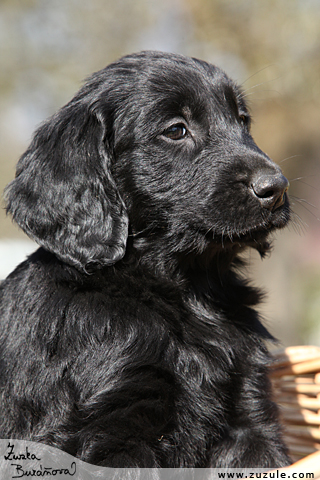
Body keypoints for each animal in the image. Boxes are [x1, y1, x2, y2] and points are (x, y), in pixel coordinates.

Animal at [0, 52, 290, 468]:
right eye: (176, 130)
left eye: (243, 120)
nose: (276, 188)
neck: (184, 291)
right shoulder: (114, 430)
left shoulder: (249, 417)